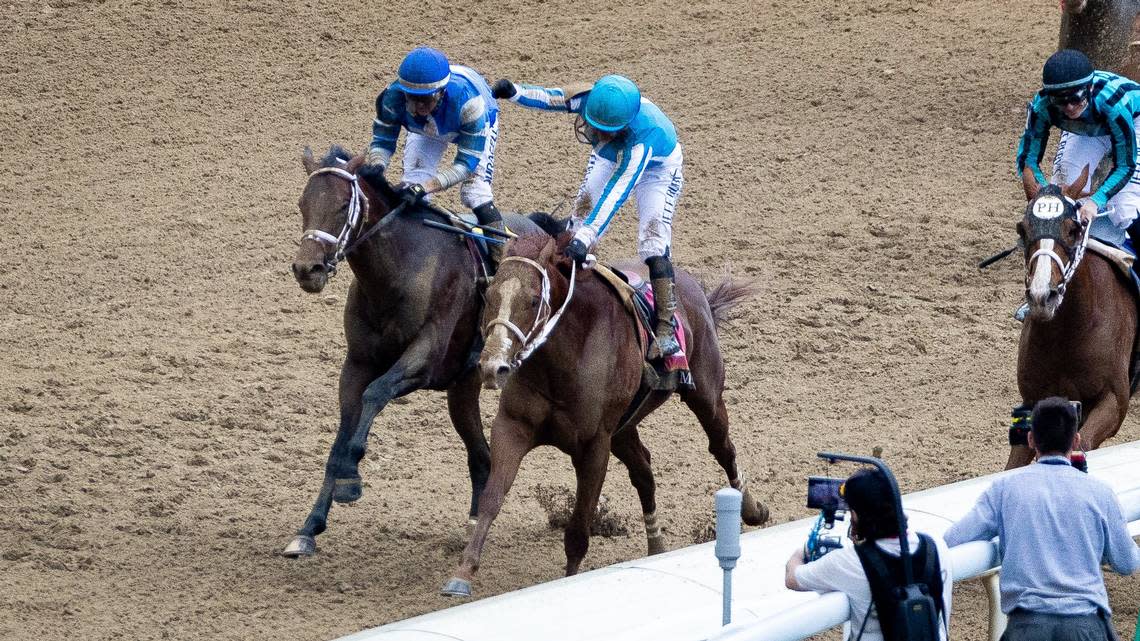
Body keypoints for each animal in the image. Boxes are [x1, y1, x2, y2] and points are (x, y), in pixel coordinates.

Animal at [283, 145, 551, 554]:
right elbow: (343, 432)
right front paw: (309, 527)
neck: (399, 270)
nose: (307, 269)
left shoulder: (423, 359)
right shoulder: (356, 364)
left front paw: (351, 478)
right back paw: (475, 521)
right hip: (462, 388)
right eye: (303, 203)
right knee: (481, 455)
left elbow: (375, 393)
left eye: (344, 204)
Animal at [440, 228, 770, 593]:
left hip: (706, 396)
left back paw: (752, 510)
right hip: (624, 427)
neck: (561, 360)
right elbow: (491, 497)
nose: (492, 366)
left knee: (722, 448)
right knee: (644, 470)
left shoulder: (594, 446)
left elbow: (578, 530)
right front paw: (463, 573)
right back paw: (656, 546)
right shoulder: (512, 428)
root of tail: (693, 289)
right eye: (490, 296)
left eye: (533, 300)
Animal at [1012, 168, 1135, 469]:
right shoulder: (1032, 401)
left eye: (1073, 229)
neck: (1070, 331)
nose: (1042, 295)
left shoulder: (1114, 401)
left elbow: (1084, 443)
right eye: (1022, 229)